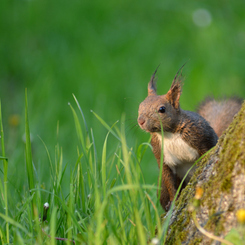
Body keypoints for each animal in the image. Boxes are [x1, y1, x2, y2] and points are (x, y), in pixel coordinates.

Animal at [137, 66, 242, 211]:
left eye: (162, 109)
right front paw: (173, 201)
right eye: (140, 106)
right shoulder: (160, 152)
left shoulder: (199, 136)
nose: (140, 121)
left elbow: (207, 153)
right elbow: (168, 179)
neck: (169, 135)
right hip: (164, 187)